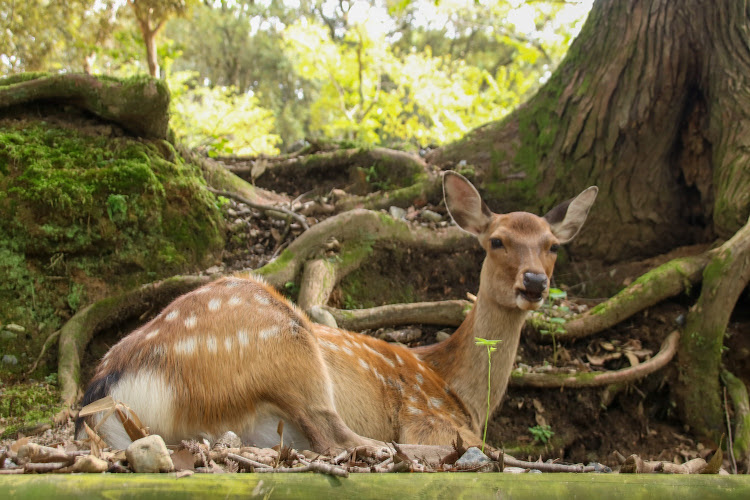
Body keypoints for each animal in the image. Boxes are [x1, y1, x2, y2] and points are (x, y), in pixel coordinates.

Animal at [76, 173, 600, 458]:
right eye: (497, 241)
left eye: (553, 245)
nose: (534, 283)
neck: (457, 388)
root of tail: (110, 392)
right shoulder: (424, 413)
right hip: (283, 342)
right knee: (343, 440)